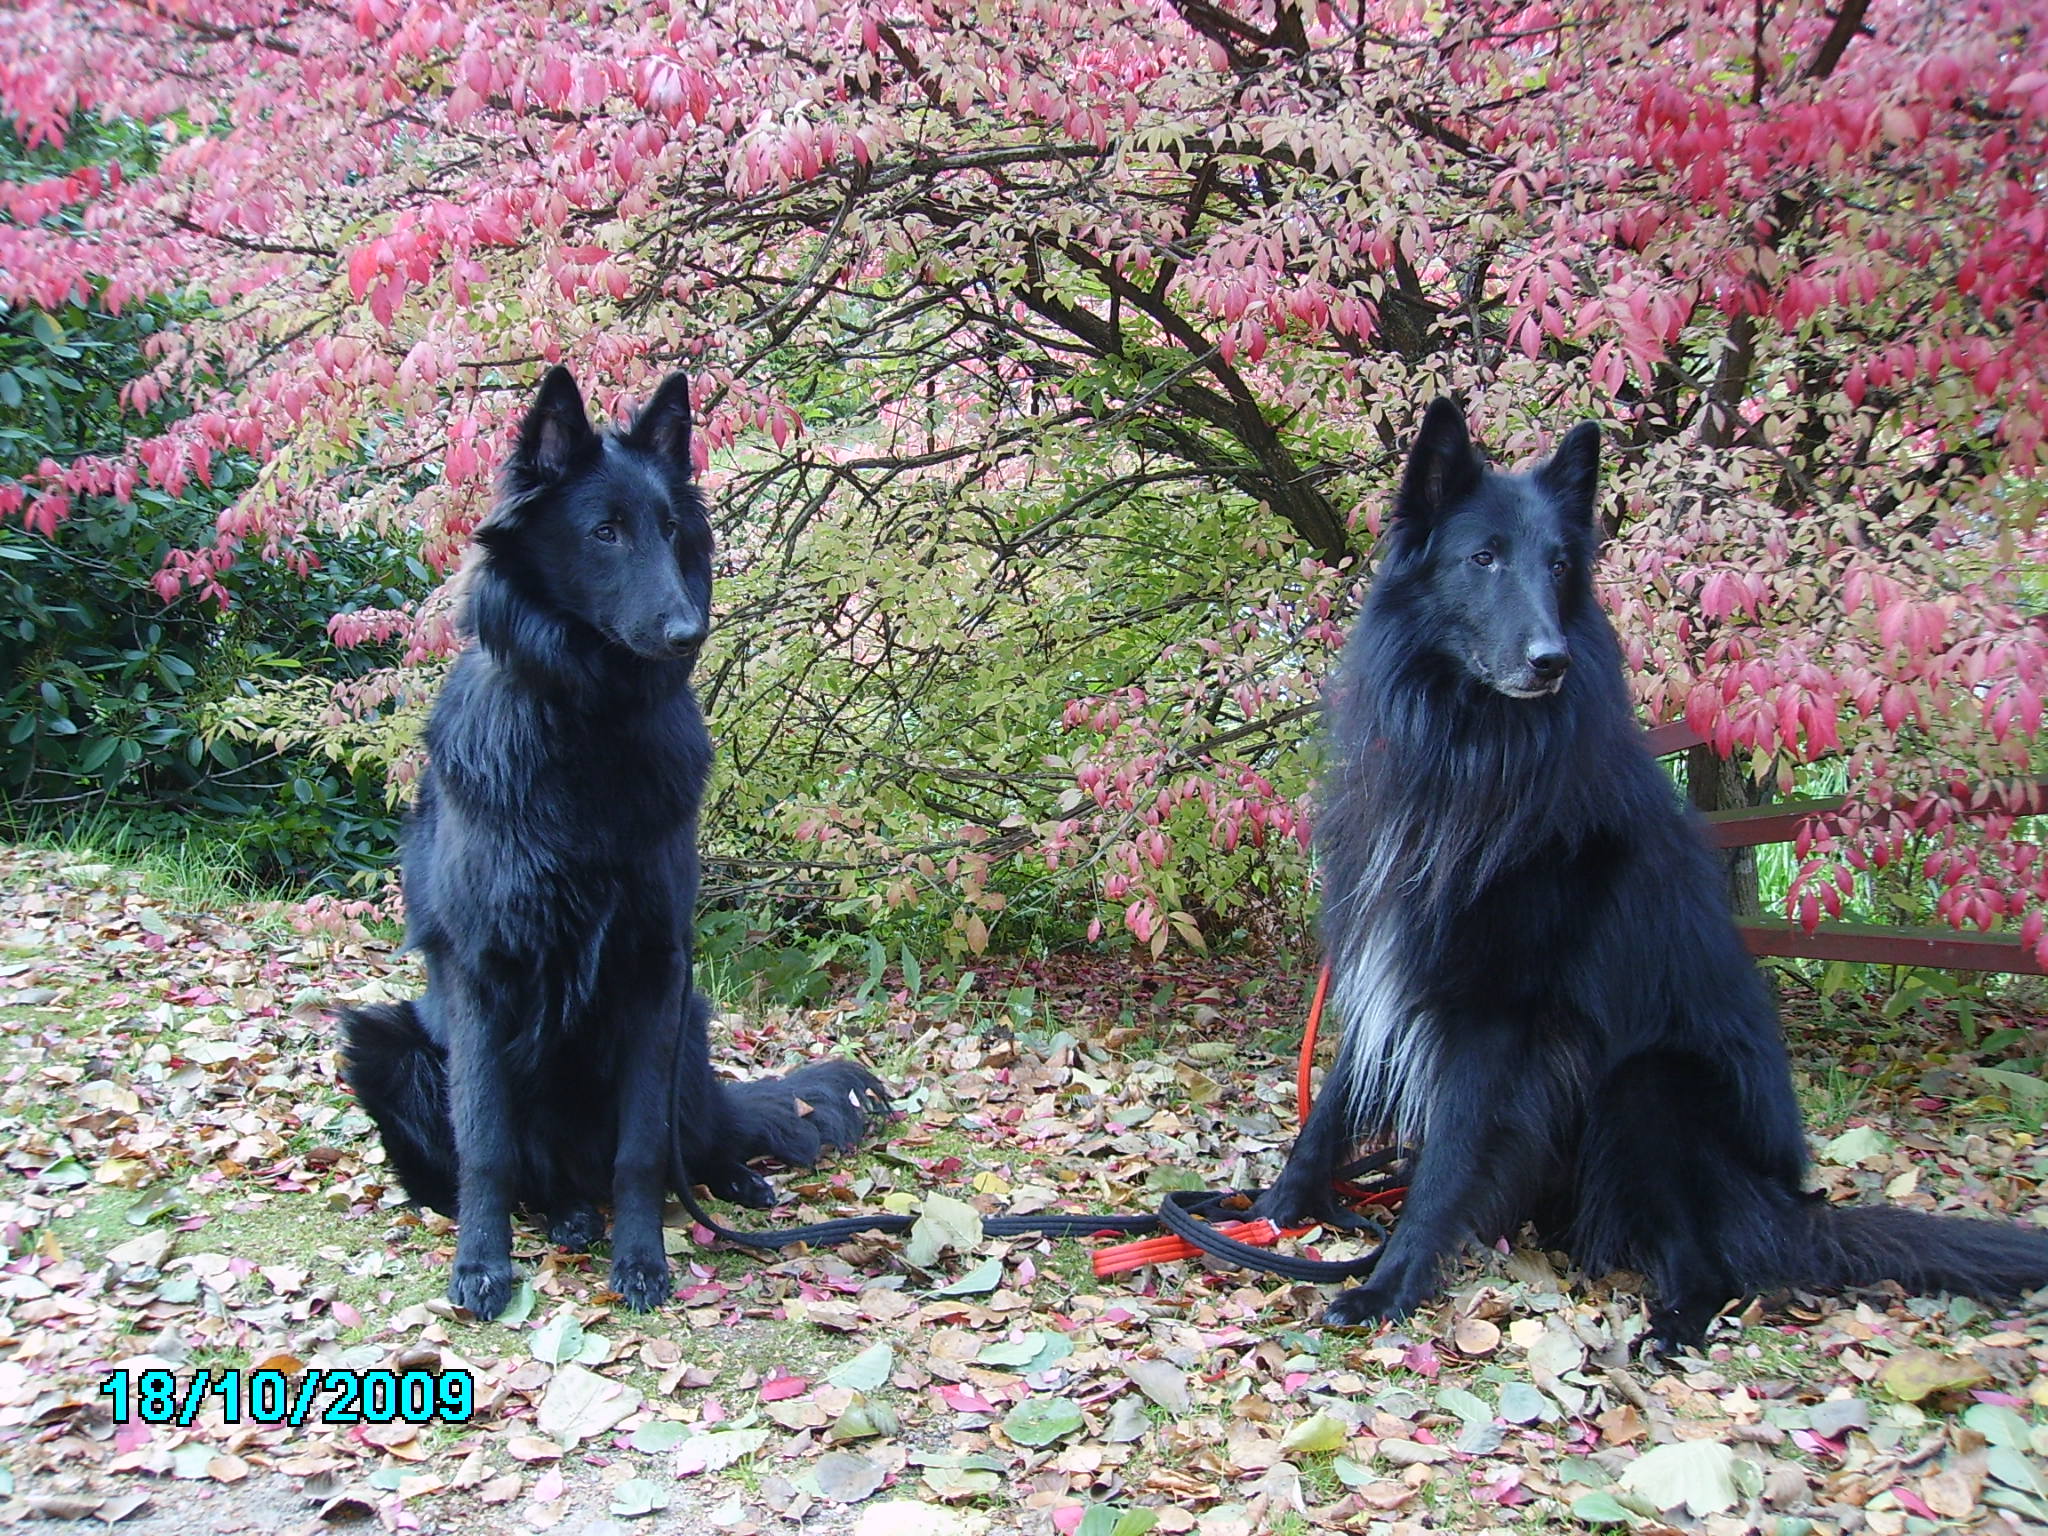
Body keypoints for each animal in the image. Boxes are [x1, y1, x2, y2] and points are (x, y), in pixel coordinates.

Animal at [339, 366, 884, 1318]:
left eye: (668, 530)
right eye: (605, 531)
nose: (688, 633)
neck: (586, 728)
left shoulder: (656, 970)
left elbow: (640, 1152)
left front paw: (643, 1259)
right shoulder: (480, 976)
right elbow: (487, 1145)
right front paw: (482, 1265)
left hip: (691, 1026)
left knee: (689, 1145)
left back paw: (730, 1181)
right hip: (385, 1042)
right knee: (517, 1171)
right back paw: (562, 1214)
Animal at [1245, 403, 2048, 1351]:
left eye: (1560, 565)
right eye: (1483, 558)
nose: (1550, 660)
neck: (1470, 752)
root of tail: (1793, 1209)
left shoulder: (1495, 1020)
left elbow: (1445, 1165)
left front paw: (1388, 1282)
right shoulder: (1385, 966)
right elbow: (1330, 1108)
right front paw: (1269, 1211)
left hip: (1645, 1086)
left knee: (1713, 1263)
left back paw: (1674, 1324)